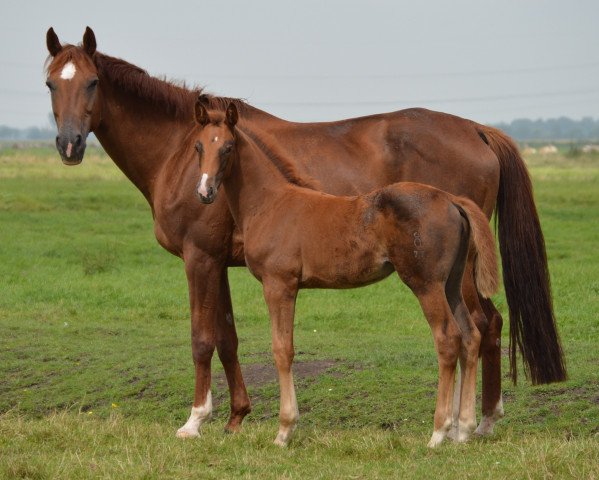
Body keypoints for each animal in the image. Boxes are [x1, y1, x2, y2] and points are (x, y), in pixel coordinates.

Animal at [193, 102, 502, 450]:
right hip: (452, 284)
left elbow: (282, 350)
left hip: (426, 284)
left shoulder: (279, 284)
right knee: (470, 335)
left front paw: (284, 431)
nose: (204, 191)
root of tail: (451, 199)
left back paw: (439, 432)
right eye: (199, 146)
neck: (270, 203)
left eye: (228, 147)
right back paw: (464, 429)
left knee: (448, 339)